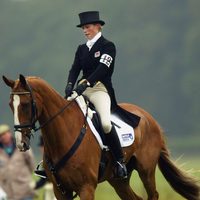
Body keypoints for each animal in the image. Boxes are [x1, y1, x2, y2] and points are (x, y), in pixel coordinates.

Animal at [2, 75, 199, 200]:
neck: (63, 134)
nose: (21, 143)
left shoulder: (86, 188)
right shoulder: (61, 191)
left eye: (25, 104)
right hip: (118, 180)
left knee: (153, 195)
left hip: (146, 170)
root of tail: (150, 119)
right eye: (11, 104)